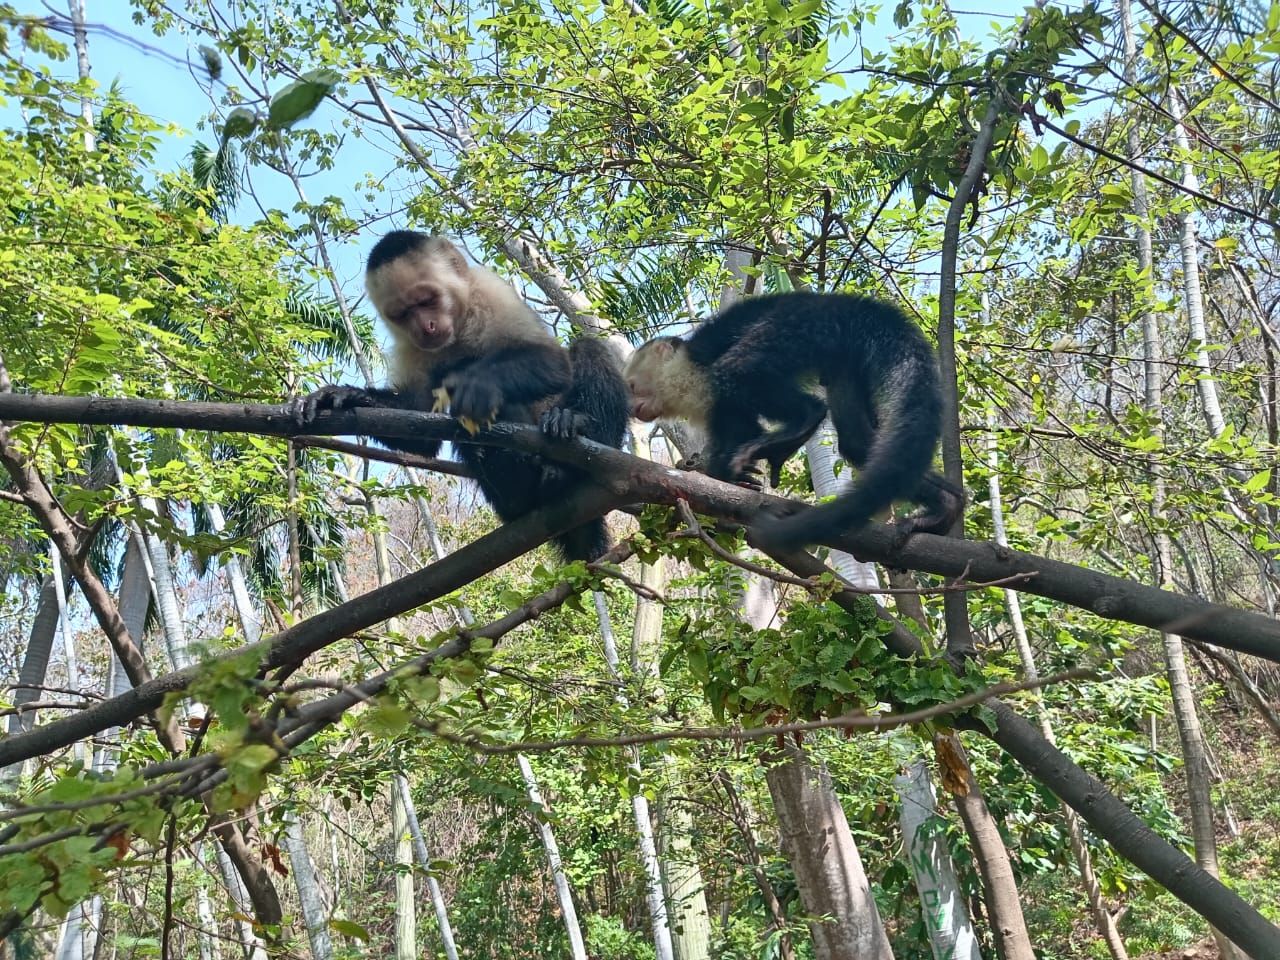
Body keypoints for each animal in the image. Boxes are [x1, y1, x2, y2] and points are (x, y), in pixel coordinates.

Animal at [301, 232, 629, 561]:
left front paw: (479, 384)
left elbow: (555, 363)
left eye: (427, 300)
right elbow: (419, 424)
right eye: (403, 314)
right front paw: (348, 396)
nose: (426, 327)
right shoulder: (410, 345)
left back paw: (573, 433)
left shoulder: (490, 290)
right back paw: (514, 480)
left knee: (588, 348)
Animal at [623, 291, 964, 552]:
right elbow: (738, 429)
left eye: (632, 386)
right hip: (844, 355)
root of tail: (842, 303)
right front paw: (730, 477)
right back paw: (944, 506)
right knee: (860, 443)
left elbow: (732, 389)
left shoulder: (697, 376)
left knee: (739, 369)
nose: (631, 407)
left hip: (801, 324)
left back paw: (805, 419)